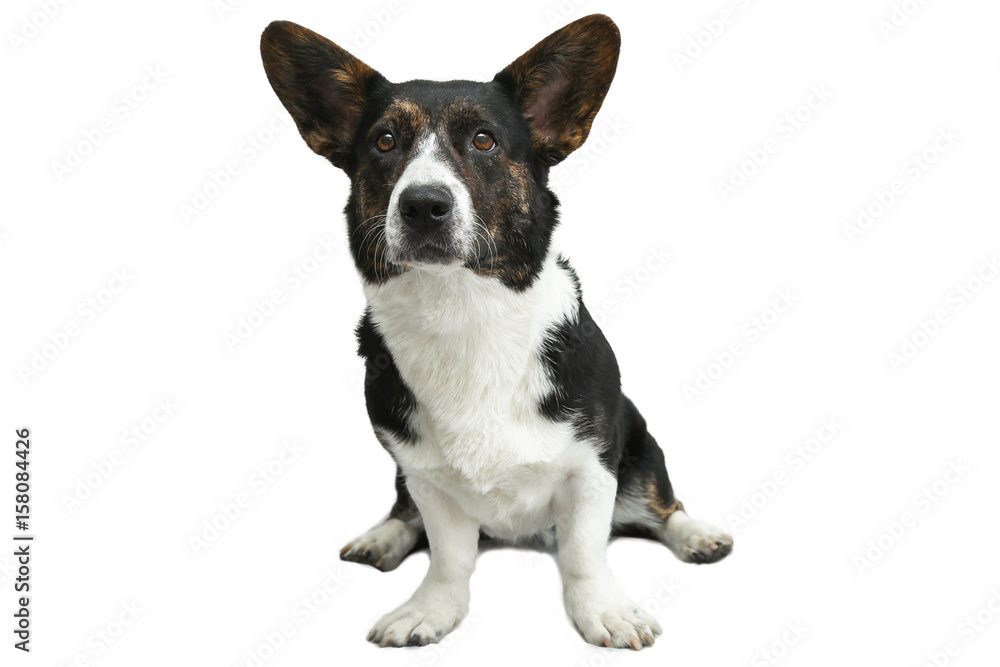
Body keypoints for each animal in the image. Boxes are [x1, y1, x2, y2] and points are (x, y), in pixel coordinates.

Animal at [262, 14, 732, 652]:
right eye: (384, 142)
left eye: (484, 140)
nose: (423, 205)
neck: (461, 309)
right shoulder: (425, 476)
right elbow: (448, 556)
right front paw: (430, 609)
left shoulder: (592, 468)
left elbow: (585, 554)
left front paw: (604, 612)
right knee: (405, 513)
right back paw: (383, 536)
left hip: (640, 447)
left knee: (662, 503)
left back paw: (697, 535)